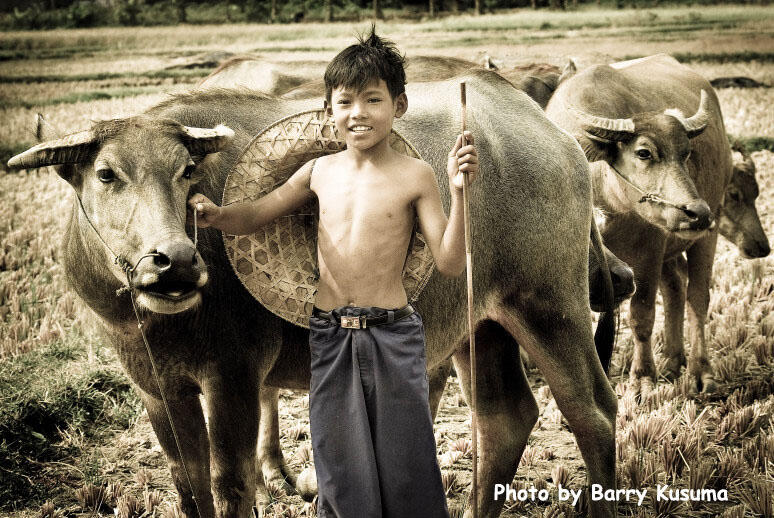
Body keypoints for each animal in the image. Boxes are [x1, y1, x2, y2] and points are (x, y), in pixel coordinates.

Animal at [9, 71, 620, 516]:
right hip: (483, 323)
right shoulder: (159, 389)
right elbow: (190, 486)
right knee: (504, 417)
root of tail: (551, 133)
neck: (165, 325)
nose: (175, 261)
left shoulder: (233, 376)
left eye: (185, 171)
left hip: (550, 306)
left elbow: (230, 484)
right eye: (106, 174)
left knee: (593, 411)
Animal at [544, 53, 732, 394]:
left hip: (705, 233)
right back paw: (672, 360)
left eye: (686, 153)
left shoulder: (648, 252)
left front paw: (643, 377)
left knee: (698, 297)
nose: (697, 212)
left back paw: (700, 372)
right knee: (676, 287)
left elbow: (642, 315)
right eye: (644, 152)